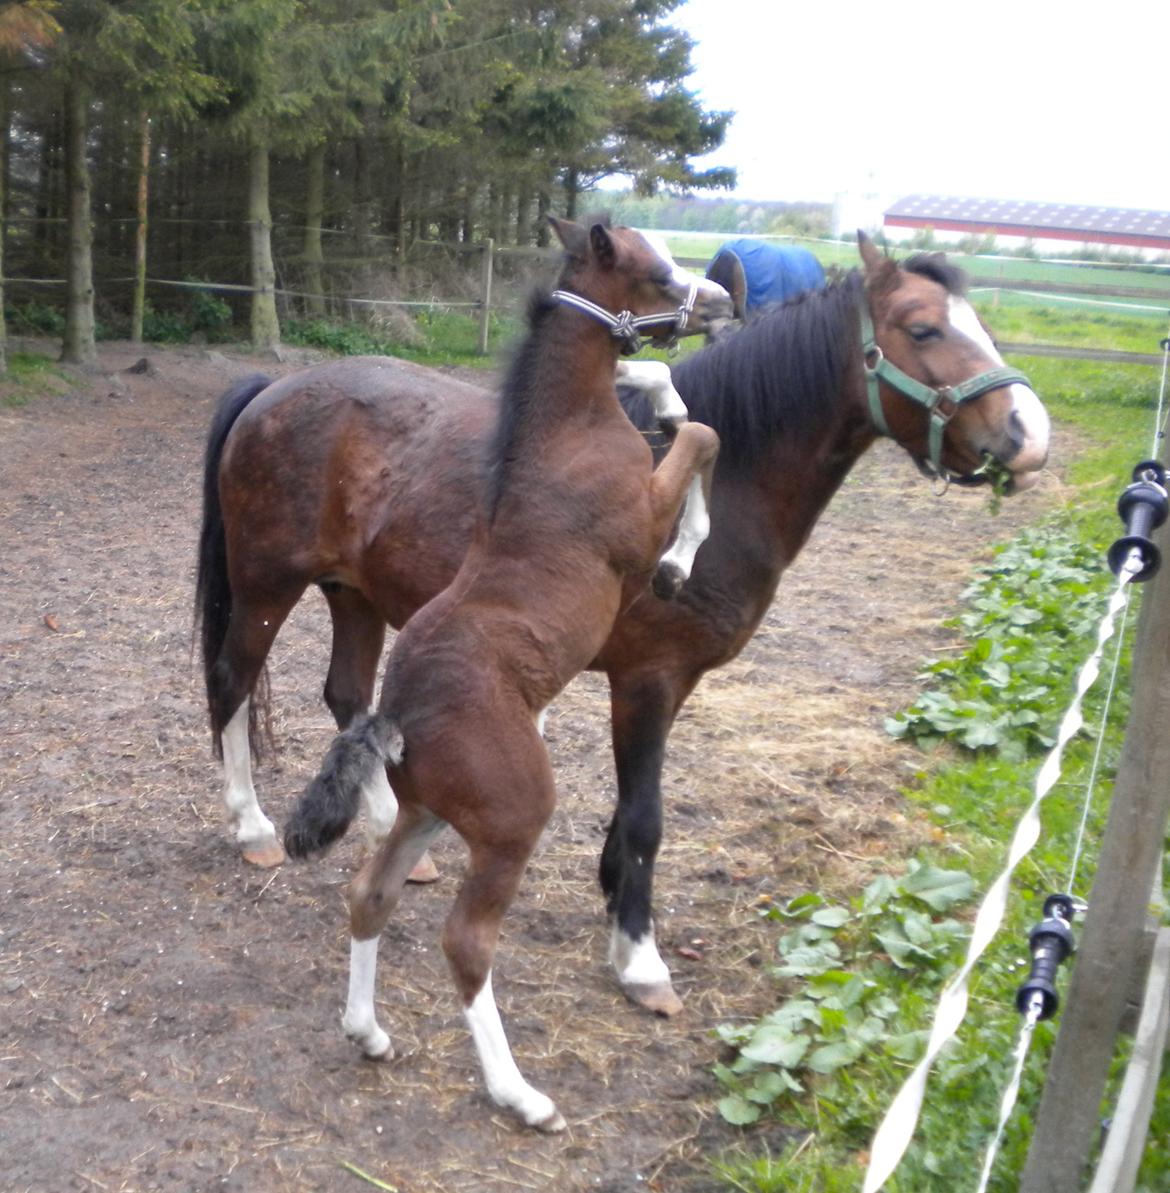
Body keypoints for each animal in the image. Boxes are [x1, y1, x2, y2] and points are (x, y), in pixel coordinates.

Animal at [194, 239, 1049, 1016]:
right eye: (923, 328)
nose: (1027, 435)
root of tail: (275, 386)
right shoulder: (647, 679)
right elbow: (645, 819)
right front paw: (639, 957)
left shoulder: (672, 683)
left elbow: (629, 817)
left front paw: (615, 903)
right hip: (269, 587)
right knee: (233, 682)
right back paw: (252, 825)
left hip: (355, 594)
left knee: (347, 696)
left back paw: (386, 830)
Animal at [282, 217, 725, 1135]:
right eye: (659, 270)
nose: (721, 300)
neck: (566, 431)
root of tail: (397, 713)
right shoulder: (639, 509)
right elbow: (704, 438)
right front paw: (681, 560)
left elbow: (691, 421)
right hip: (511, 820)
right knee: (465, 940)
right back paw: (520, 1093)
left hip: (428, 812)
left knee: (369, 892)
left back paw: (368, 1032)